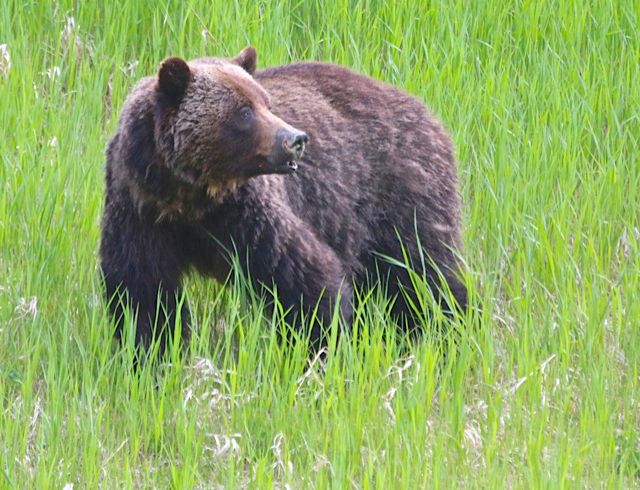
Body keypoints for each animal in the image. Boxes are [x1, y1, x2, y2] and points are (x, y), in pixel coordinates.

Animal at [101, 47, 470, 348]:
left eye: (266, 102)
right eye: (244, 112)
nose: (295, 139)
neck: (191, 196)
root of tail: (426, 111)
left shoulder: (247, 215)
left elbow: (306, 275)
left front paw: (322, 347)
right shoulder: (139, 209)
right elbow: (143, 294)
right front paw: (150, 355)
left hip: (399, 192)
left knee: (425, 272)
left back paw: (450, 328)